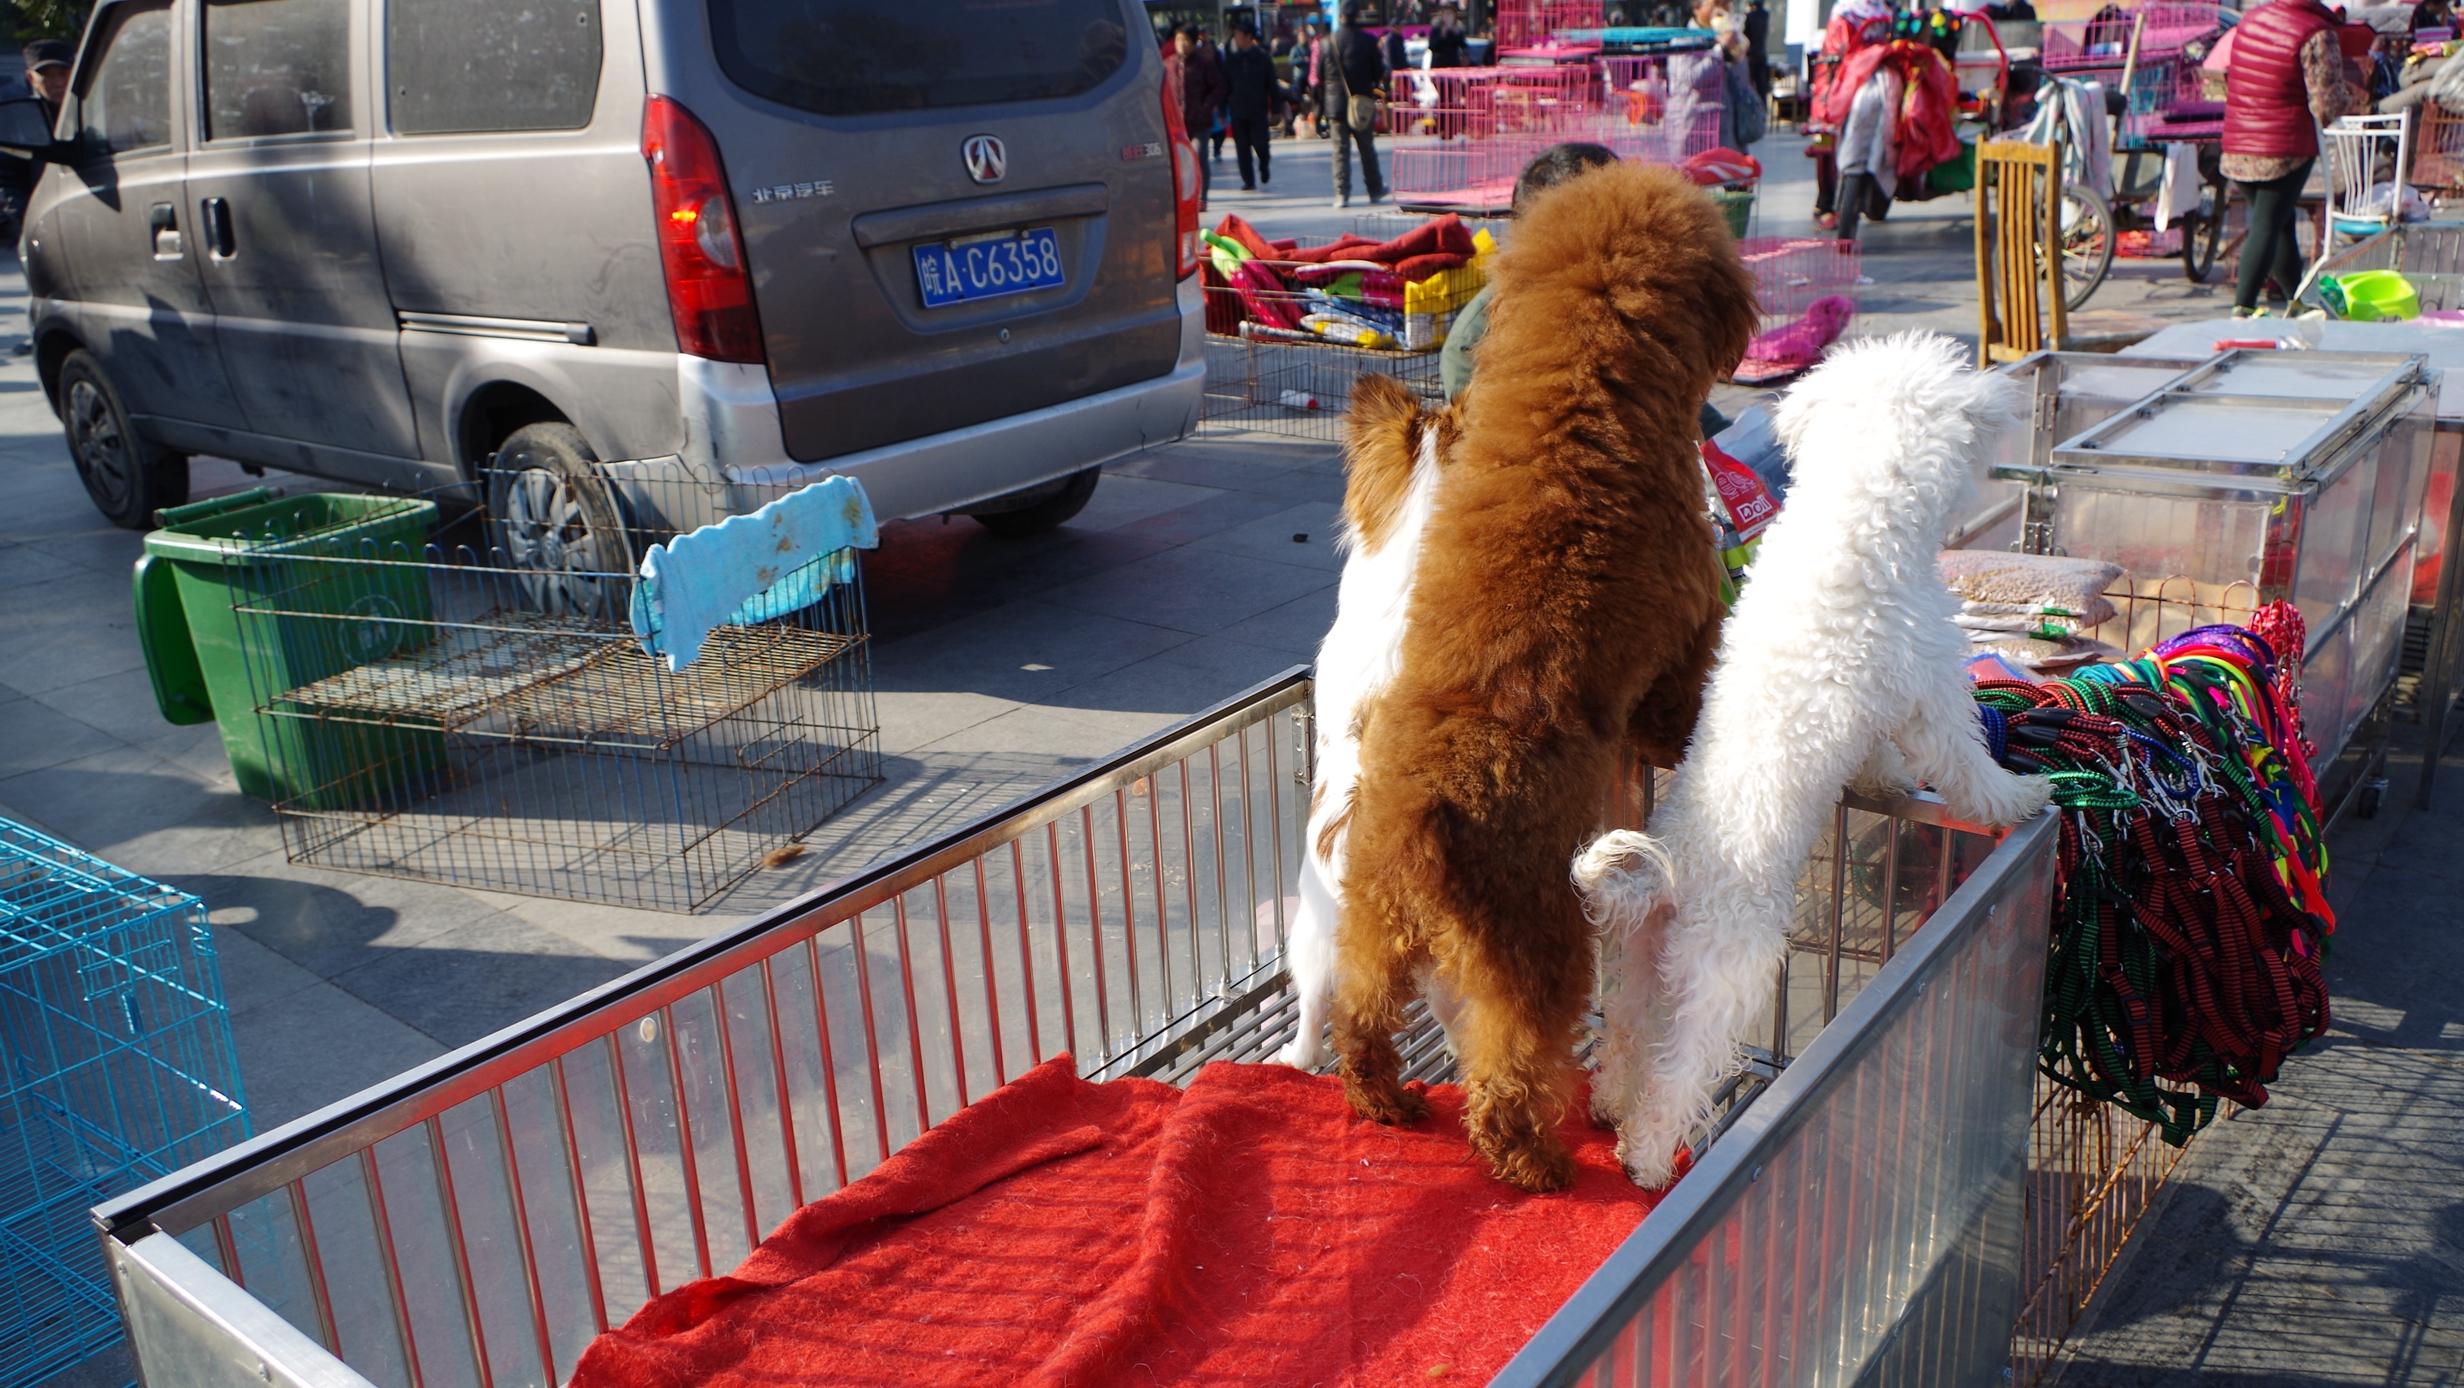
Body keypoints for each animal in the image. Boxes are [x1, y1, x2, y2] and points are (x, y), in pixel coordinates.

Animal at [1576, 330, 2059, 1188]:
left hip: (1638, 965)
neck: (1855, 508)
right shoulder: (1928, 682)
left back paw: (1607, 1107)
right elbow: (1964, 761)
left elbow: (1876, 759)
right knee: (1679, 1072)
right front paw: (2019, 797)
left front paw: (1889, 781)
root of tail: (1669, 863)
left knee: (1629, 1044)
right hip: (1725, 968)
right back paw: (1647, 1160)